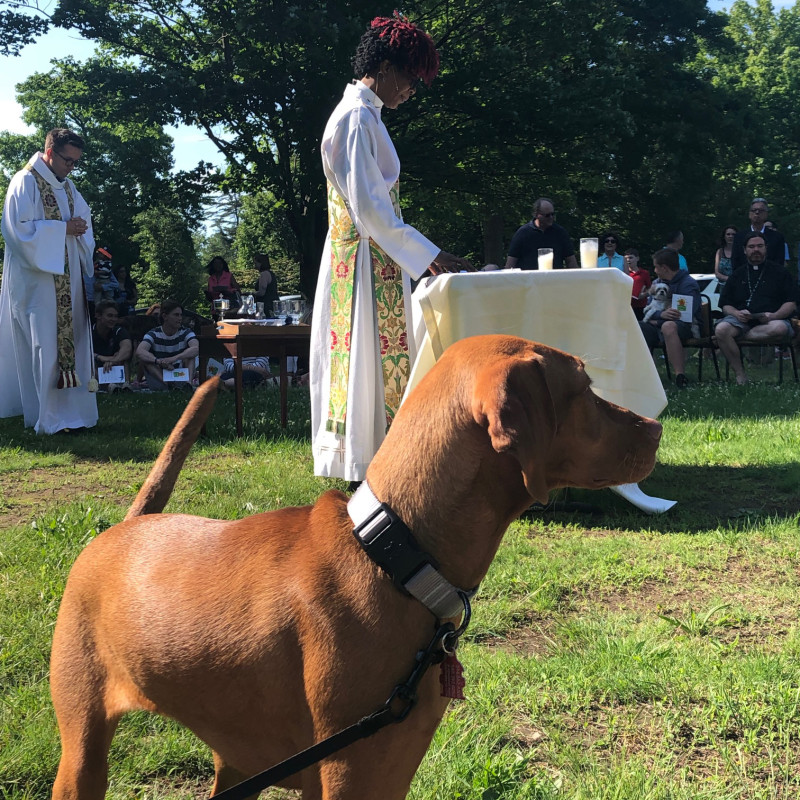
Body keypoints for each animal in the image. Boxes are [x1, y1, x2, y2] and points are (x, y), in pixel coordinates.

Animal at [51, 334, 664, 796]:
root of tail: (124, 527)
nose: (658, 427)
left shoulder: (388, 768)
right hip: (82, 750)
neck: (396, 555)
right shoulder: (351, 774)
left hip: (238, 761)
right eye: (584, 390)